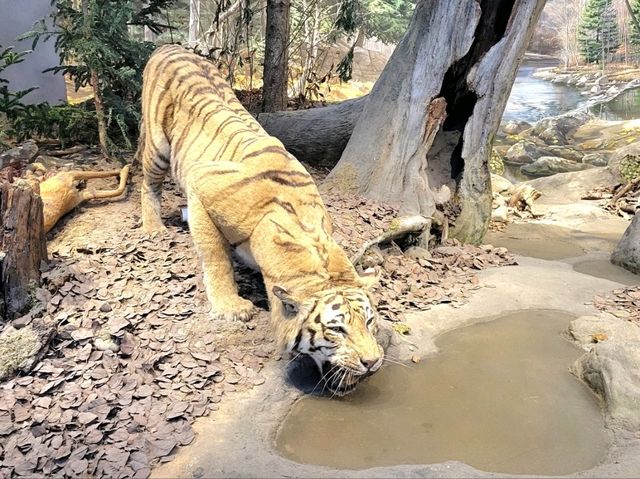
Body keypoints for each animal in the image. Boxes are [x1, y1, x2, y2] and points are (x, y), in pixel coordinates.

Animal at [138, 45, 382, 396]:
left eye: (370, 321)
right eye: (337, 330)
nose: (373, 362)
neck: (307, 233)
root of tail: (168, 47)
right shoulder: (202, 186)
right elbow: (214, 256)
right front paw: (231, 307)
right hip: (158, 145)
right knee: (148, 183)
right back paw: (154, 227)